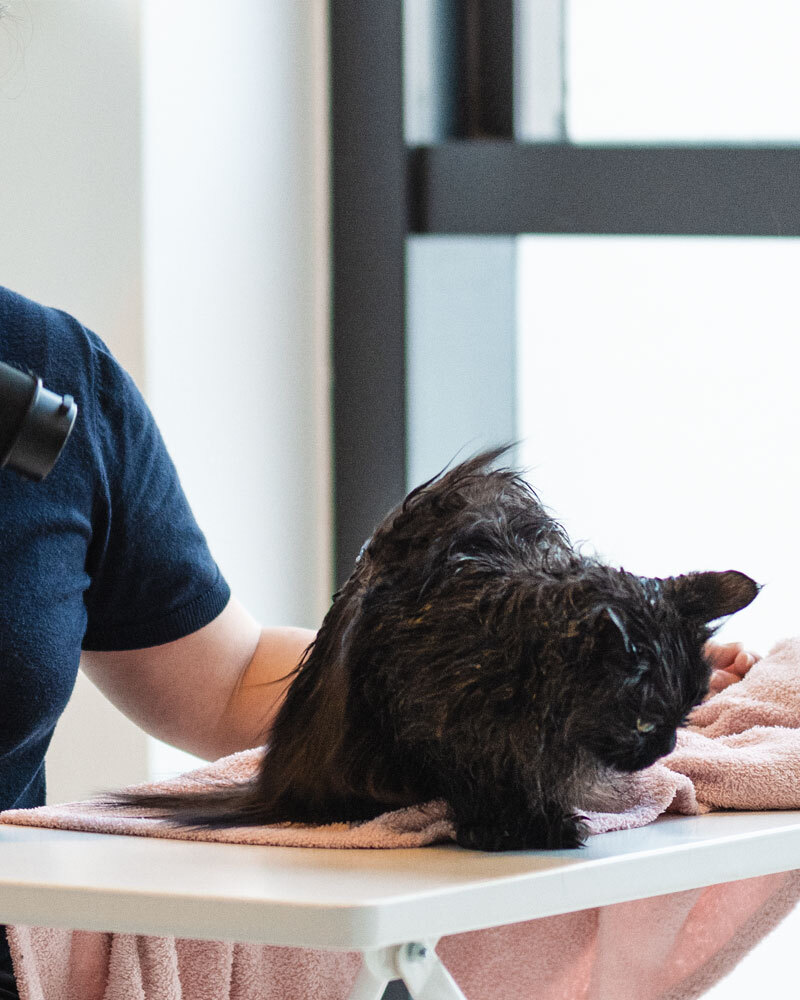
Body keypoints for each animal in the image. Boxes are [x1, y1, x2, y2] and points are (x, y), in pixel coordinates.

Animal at [112, 450, 756, 848]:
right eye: (645, 722)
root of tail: (276, 784)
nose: (664, 747)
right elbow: (483, 783)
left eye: (682, 718)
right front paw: (518, 830)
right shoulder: (435, 725)